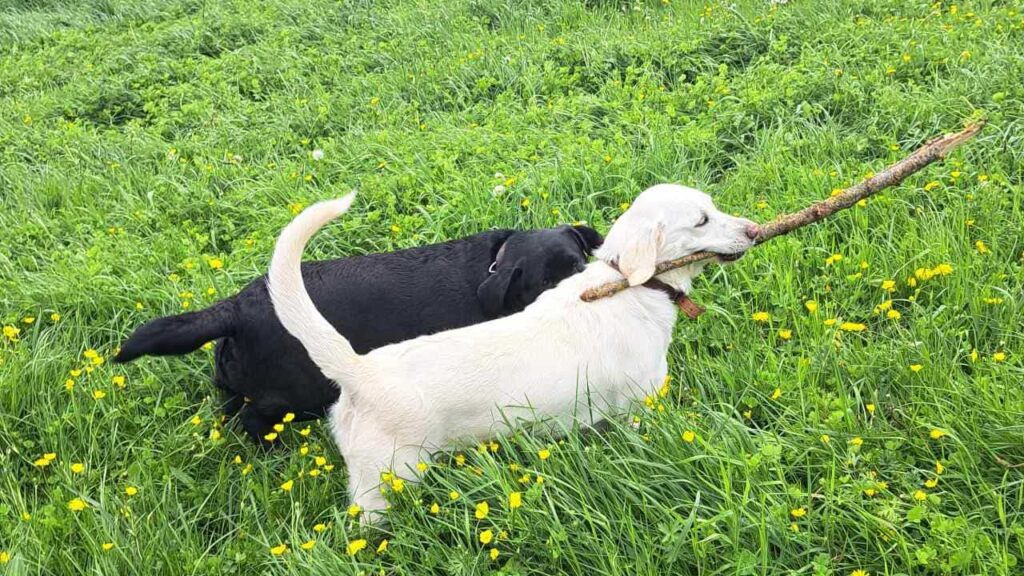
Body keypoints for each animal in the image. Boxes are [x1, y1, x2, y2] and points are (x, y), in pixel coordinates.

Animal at [116, 224, 602, 438]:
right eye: (546, 282)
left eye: (580, 263)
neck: (491, 267)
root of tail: (235, 306)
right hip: (297, 395)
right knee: (256, 420)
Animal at [268, 183, 757, 510]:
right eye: (701, 220)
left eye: (713, 207)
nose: (754, 230)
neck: (630, 285)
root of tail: (358, 370)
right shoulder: (641, 405)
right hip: (386, 483)